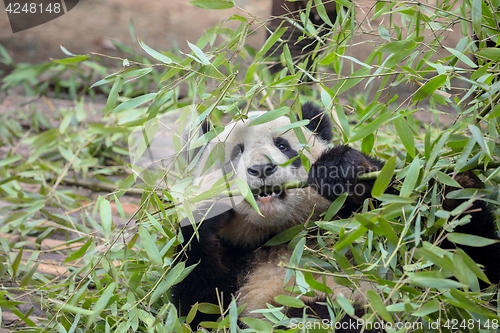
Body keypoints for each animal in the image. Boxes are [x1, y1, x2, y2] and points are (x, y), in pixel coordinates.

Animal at [173, 102, 500, 330]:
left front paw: (340, 169)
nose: (261, 169)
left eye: (283, 145)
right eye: (235, 154)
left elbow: (467, 270)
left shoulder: (361, 220)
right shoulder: (236, 259)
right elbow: (202, 307)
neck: (281, 234)